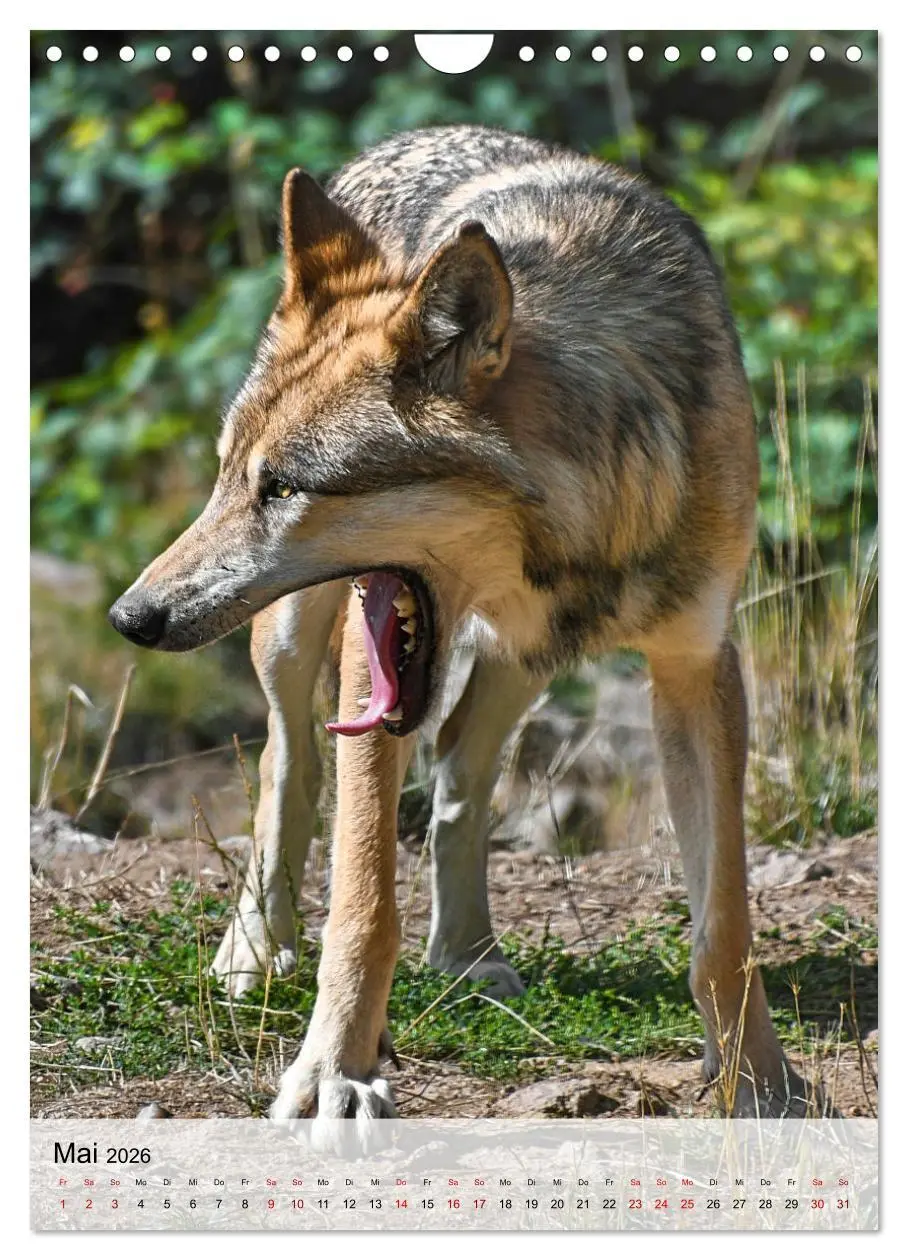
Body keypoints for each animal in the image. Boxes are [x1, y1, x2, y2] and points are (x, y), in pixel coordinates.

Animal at [109, 125, 816, 1128]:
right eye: (231, 480)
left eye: (280, 487)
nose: (129, 617)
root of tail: (407, 139)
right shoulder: (373, 655)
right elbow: (363, 900)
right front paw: (335, 1070)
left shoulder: (695, 667)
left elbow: (725, 922)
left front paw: (757, 1081)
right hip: (295, 640)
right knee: (291, 763)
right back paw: (255, 949)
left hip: (527, 661)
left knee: (459, 780)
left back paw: (470, 953)